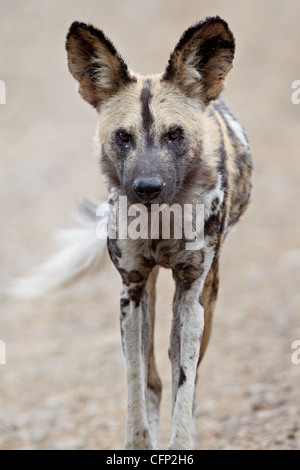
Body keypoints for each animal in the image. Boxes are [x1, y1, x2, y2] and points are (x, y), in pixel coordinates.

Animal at [14, 15, 252, 448]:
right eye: (123, 137)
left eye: (175, 135)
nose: (147, 187)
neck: (161, 217)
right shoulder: (132, 289)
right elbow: (136, 381)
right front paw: (140, 443)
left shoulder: (191, 294)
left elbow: (184, 384)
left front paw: (180, 443)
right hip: (152, 290)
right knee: (154, 379)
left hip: (206, 295)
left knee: (183, 374)